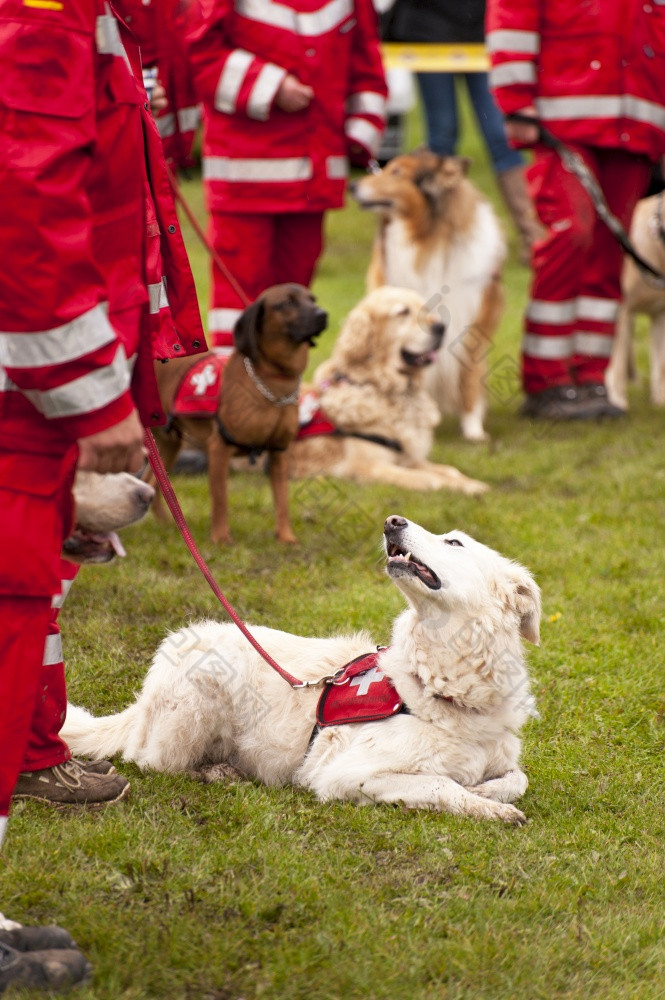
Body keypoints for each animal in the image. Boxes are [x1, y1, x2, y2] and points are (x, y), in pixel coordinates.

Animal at [151, 282, 326, 548]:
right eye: (287, 303)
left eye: (312, 300)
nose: (323, 315)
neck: (272, 380)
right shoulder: (219, 450)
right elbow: (220, 500)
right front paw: (221, 537)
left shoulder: (279, 455)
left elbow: (282, 501)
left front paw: (285, 536)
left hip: (167, 446)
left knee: (154, 485)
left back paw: (164, 524)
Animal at [290, 288, 488, 494]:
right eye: (403, 312)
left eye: (425, 309)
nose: (441, 327)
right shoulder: (367, 466)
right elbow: (430, 479)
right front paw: (455, 486)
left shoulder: (409, 457)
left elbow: (449, 470)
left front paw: (470, 483)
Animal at [350, 149, 506, 442]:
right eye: (387, 168)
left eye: (397, 172)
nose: (352, 186)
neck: (428, 238)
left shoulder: (471, 320)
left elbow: (469, 377)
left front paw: (473, 431)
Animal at [604, 193, 664, 412]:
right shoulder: (621, 310)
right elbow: (618, 365)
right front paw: (616, 401)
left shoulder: (661, 314)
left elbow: (661, 365)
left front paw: (660, 401)